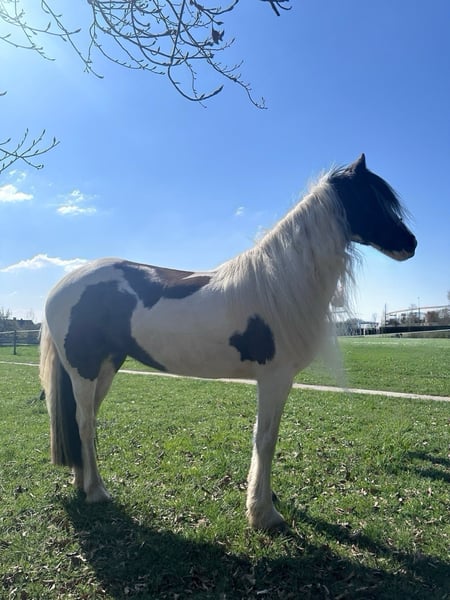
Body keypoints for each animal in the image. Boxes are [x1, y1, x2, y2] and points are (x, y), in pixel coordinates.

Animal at [40, 154, 417, 530]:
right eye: (370, 198)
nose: (411, 244)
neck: (279, 283)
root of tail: (61, 286)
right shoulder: (275, 378)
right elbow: (265, 440)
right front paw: (263, 513)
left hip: (106, 367)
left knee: (83, 420)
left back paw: (81, 481)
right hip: (85, 371)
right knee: (85, 423)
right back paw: (97, 491)